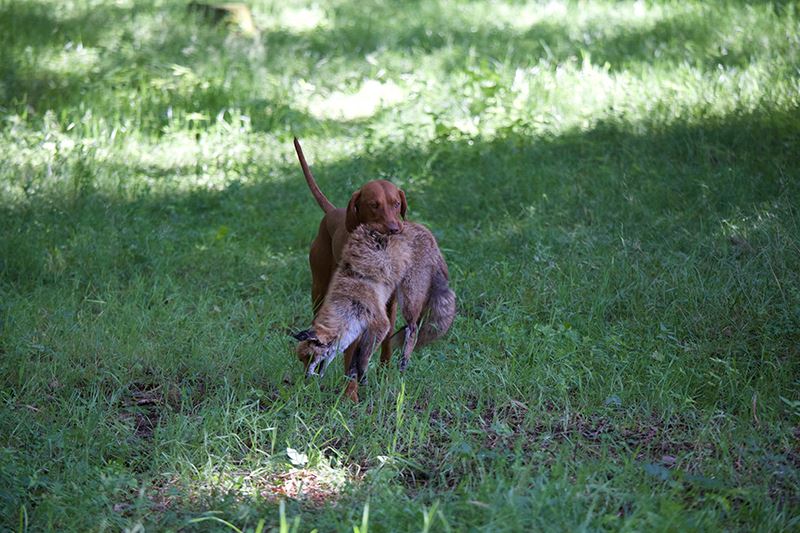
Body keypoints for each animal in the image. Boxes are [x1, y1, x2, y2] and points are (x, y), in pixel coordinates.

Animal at [294, 137, 406, 370]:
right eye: (374, 205)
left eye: (396, 204)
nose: (394, 229)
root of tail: (332, 212)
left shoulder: (389, 304)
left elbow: (387, 337)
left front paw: (384, 371)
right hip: (319, 288)